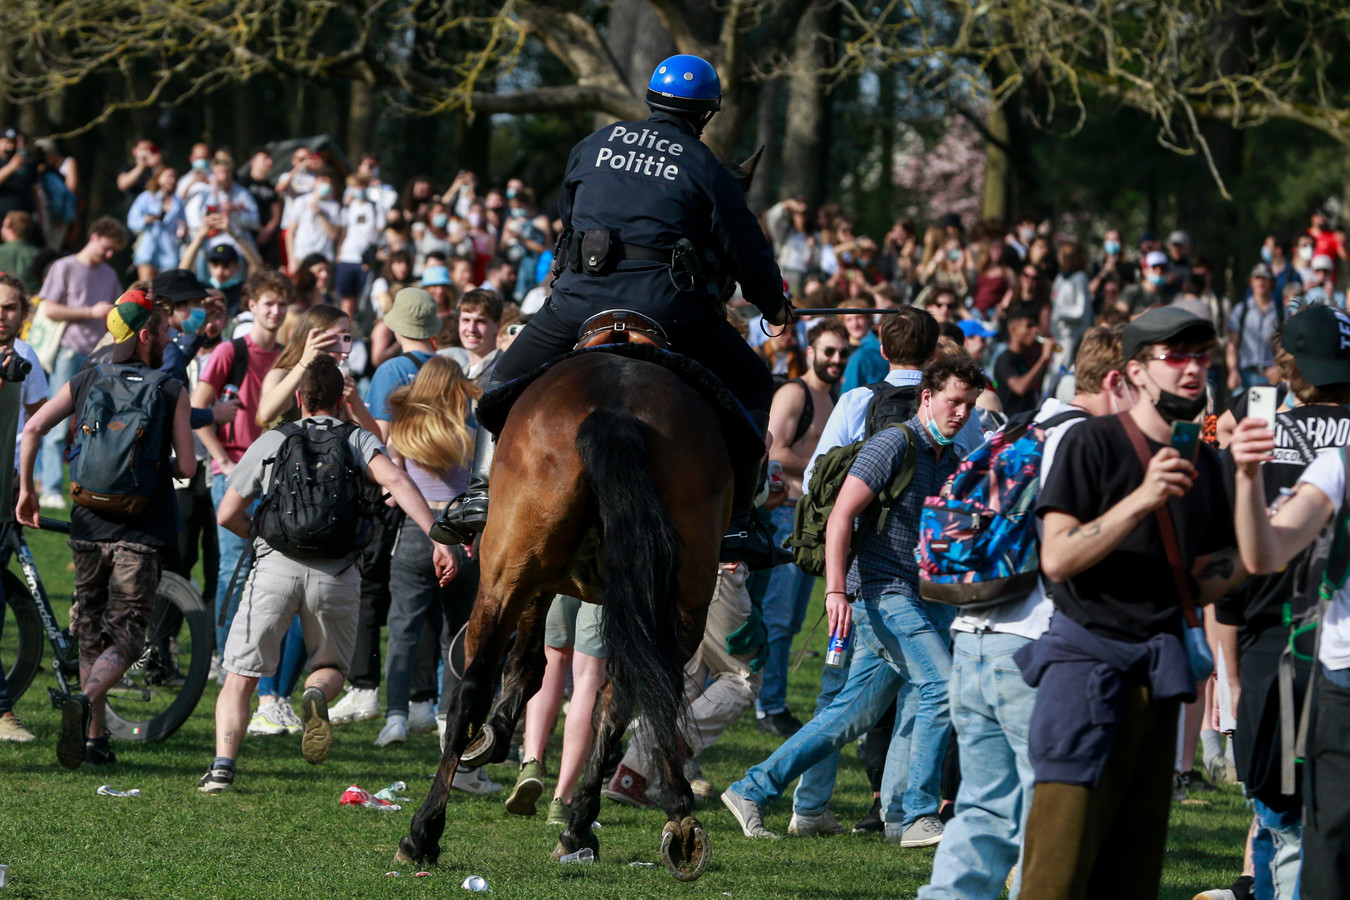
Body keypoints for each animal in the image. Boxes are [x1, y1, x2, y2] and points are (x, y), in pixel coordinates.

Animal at [394, 350, 734, 879]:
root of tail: (615, 410)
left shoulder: (529, 583)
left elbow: (524, 665)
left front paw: (493, 736)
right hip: (679, 604)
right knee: (634, 695)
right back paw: (654, 823)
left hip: (505, 577)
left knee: (473, 687)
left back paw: (423, 832)